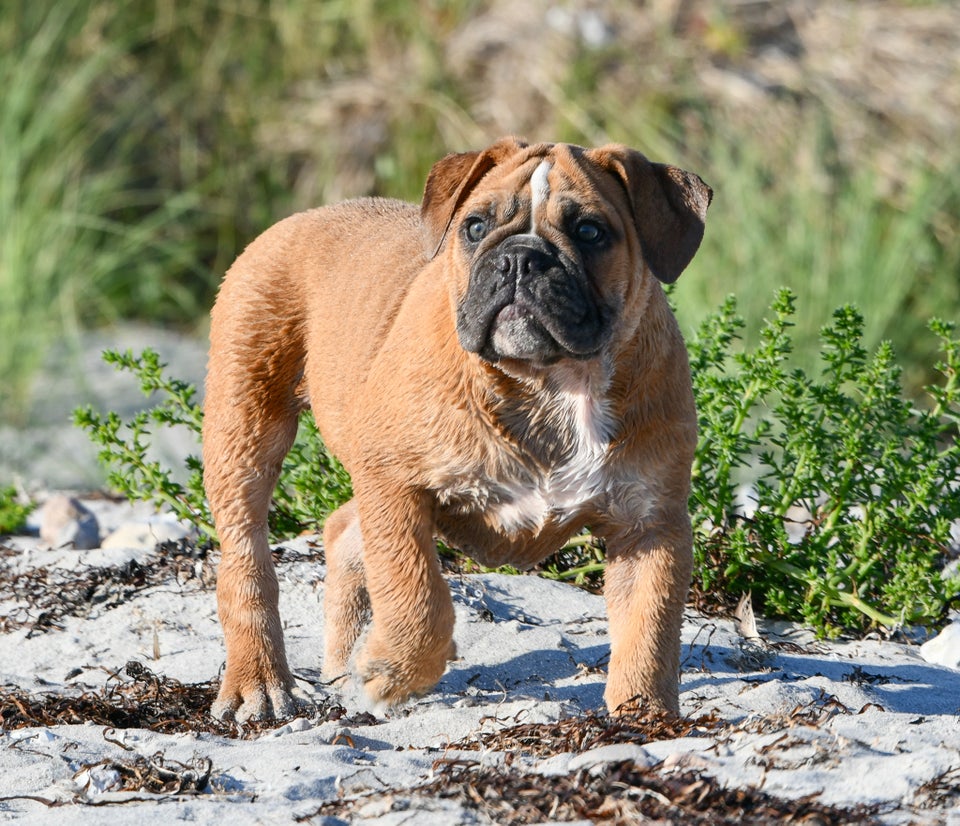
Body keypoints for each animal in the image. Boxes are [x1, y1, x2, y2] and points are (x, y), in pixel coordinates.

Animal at [202, 138, 712, 716]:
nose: (520, 258)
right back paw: (260, 680)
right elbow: (415, 591)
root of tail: (304, 218)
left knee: (343, 529)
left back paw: (341, 659)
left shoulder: (650, 524)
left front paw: (644, 716)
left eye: (590, 232)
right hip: (246, 424)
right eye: (474, 227)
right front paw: (392, 671)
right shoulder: (395, 483)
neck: (550, 383)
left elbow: (649, 626)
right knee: (247, 560)